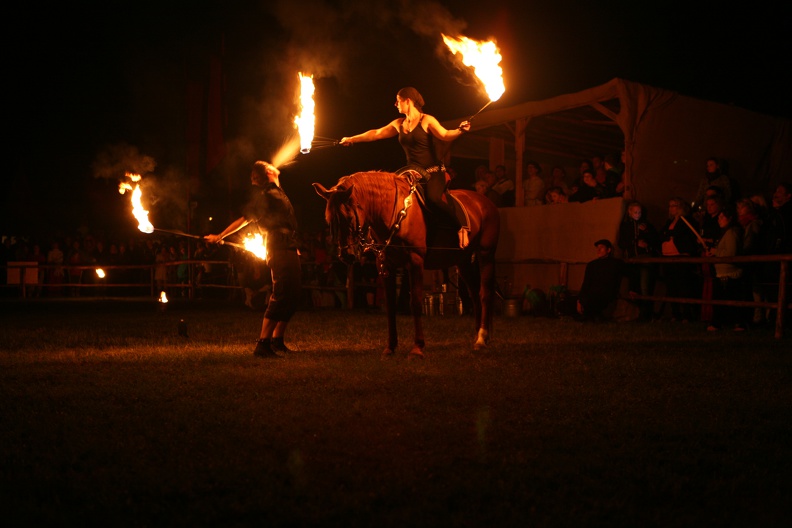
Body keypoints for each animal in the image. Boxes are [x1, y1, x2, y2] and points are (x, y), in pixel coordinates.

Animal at [312, 171, 498, 356]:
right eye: (329, 219)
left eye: (349, 217)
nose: (346, 255)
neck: (395, 214)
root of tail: (484, 201)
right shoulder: (385, 265)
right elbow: (390, 306)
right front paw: (390, 347)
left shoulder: (415, 262)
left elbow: (415, 302)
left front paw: (418, 347)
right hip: (463, 261)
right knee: (474, 294)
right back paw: (478, 335)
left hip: (485, 254)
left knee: (485, 294)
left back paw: (482, 338)